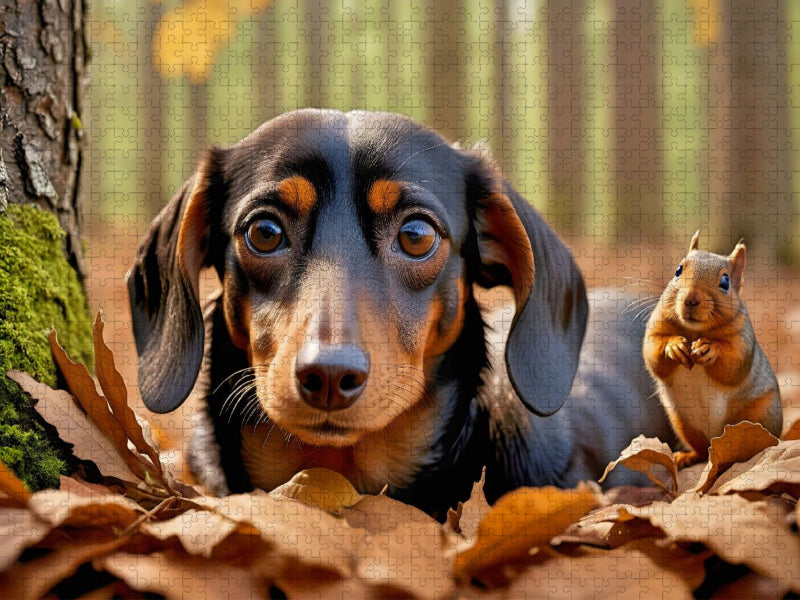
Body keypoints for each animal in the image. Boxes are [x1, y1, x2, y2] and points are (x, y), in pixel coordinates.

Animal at [643, 231, 783, 468]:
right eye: (678, 270)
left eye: (725, 282)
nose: (690, 300)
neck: (694, 331)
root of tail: (716, 443)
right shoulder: (656, 326)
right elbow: (652, 352)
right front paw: (674, 346)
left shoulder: (743, 339)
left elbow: (734, 365)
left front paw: (710, 349)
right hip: (683, 424)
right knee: (701, 451)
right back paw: (687, 457)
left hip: (761, 414)